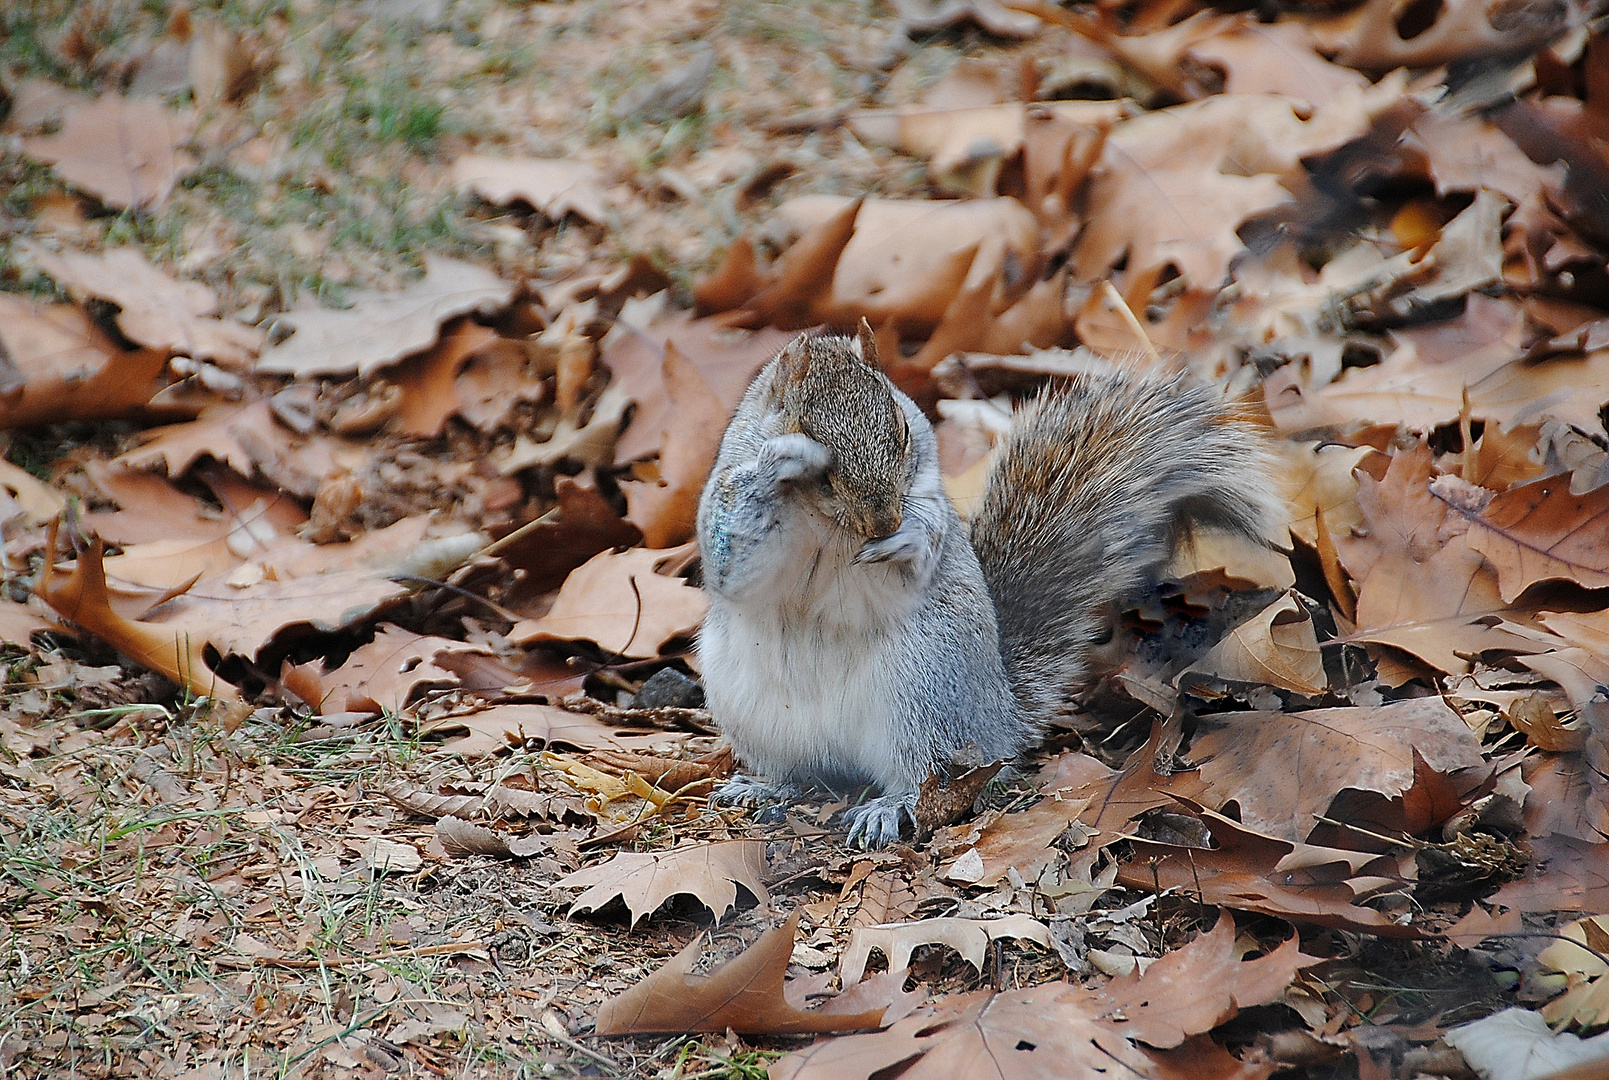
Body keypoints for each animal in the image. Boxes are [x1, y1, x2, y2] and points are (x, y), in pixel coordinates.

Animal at [691, 325, 1280, 849]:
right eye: (823, 467)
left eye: (902, 430)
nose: (884, 523)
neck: (825, 525)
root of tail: (1001, 719)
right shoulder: (731, 513)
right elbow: (730, 555)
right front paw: (781, 460)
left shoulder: (926, 482)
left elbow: (931, 529)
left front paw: (911, 537)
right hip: (750, 707)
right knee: (805, 772)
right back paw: (766, 786)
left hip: (923, 694)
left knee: (928, 777)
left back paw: (888, 805)